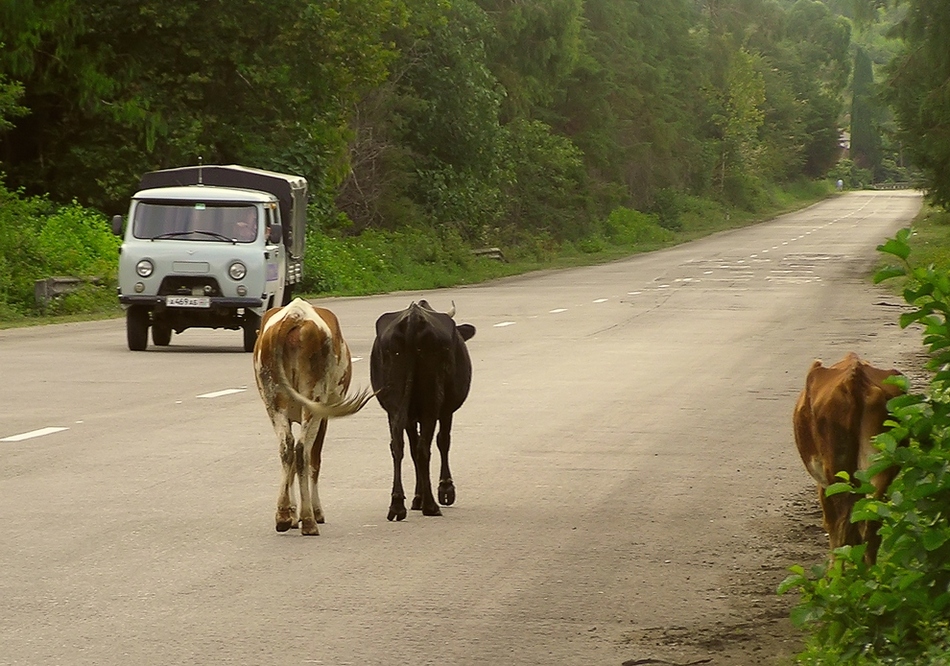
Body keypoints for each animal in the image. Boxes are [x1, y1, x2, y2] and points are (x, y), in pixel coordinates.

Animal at [255, 296, 374, 536]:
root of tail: (295, 314)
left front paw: (291, 515)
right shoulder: (324, 417)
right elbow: (315, 460)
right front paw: (315, 512)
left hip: (273, 400)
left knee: (287, 448)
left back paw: (283, 516)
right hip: (315, 398)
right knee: (302, 451)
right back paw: (309, 520)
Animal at [370, 298, 476, 520]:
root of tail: (413, 318)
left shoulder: (410, 416)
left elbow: (411, 446)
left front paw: (416, 498)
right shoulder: (446, 410)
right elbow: (443, 441)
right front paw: (445, 490)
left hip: (395, 402)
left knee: (398, 445)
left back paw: (397, 505)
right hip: (432, 400)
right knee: (424, 447)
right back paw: (430, 505)